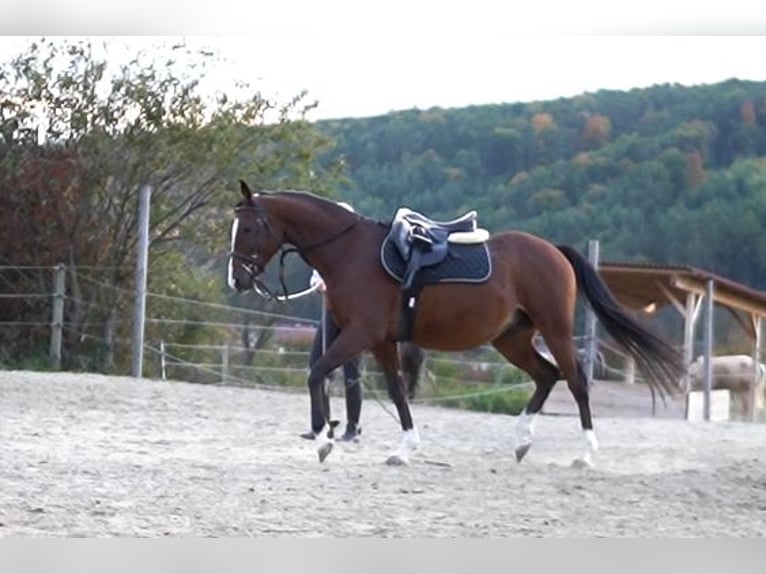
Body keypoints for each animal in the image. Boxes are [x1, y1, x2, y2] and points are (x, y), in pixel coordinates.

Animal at [228, 180, 684, 466]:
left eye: (248, 227)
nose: (237, 280)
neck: (350, 252)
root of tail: (552, 250)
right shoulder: (381, 342)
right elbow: (397, 391)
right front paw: (403, 449)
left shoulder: (361, 334)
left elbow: (317, 373)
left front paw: (323, 441)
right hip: (511, 339)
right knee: (546, 376)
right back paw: (522, 441)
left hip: (554, 330)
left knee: (575, 382)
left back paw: (584, 455)